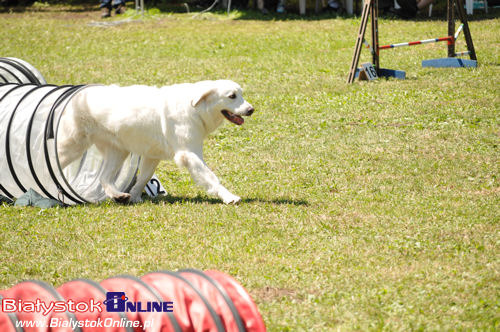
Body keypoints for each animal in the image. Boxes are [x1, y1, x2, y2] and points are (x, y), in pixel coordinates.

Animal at [56, 81, 256, 205]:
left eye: (241, 94)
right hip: (72, 147)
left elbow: (144, 177)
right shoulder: (190, 153)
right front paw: (229, 197)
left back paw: (119, 196)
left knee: (104, 178)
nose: (251, 110)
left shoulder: (152, 155)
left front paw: (135, 197)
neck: (196, 108)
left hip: (118, 151)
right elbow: (211, 177)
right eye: (232, 96)